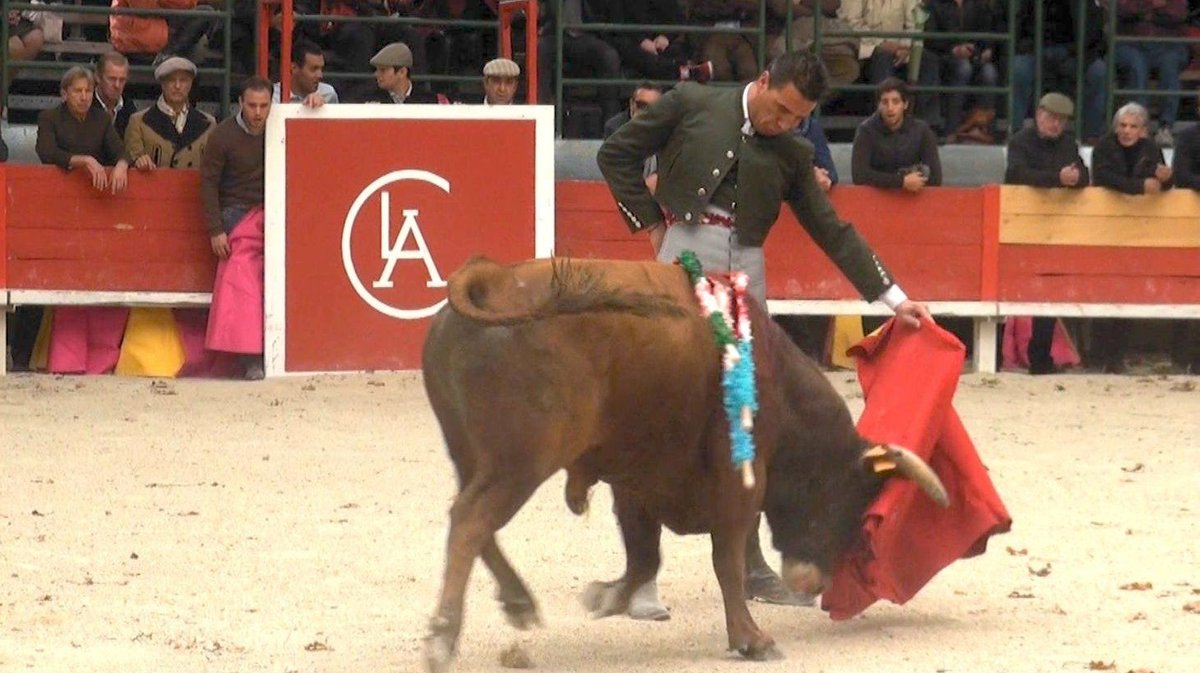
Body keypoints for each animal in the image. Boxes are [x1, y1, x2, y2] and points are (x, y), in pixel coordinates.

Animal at [422, 254, 945, 667]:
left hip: (472, 456)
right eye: (849, 504)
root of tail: (492, 281)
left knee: (469, 518)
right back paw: (444, 639)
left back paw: (517, 603)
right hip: (521, 463)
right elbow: (726, 555)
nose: (813, 583)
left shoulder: (637, 479)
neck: (773, 376)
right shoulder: (739, 479)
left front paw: (606, 597)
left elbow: (644, 555)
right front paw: (751, 639)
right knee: (471, 521)